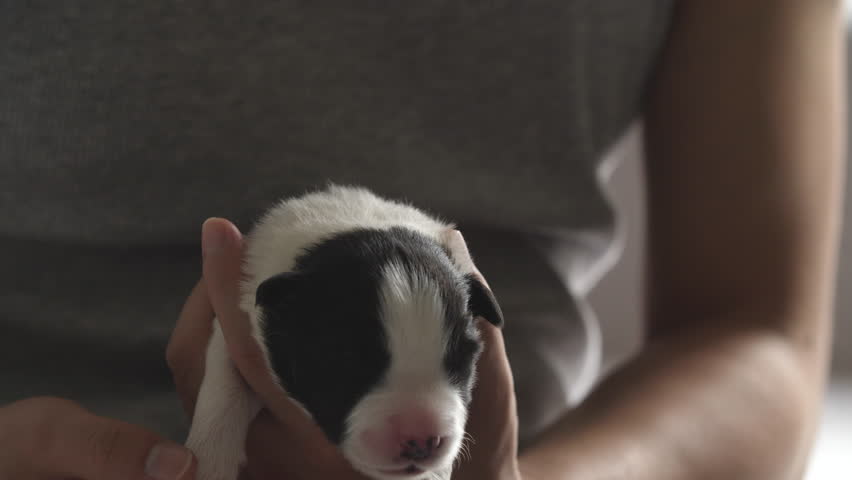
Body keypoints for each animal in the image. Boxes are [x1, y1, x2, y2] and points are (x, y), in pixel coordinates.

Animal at [186, 185, 502, 480]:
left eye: (464, 358)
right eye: (345, 361)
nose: (422, 439)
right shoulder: (236, 320)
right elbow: (225, 384)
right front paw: (209, 462)